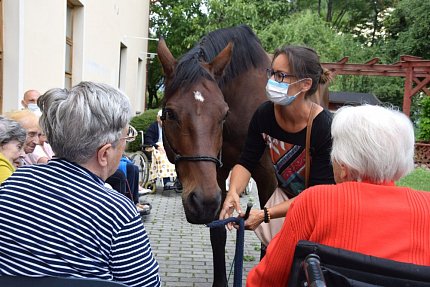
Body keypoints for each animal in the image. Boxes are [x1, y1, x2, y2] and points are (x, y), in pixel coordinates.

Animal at [158, 25, 330, 286]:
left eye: (223, 113)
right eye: (169, 113)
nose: (202, 203)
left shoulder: (267, 177)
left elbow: (267, 236)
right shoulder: (217, 176)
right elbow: (218, 232)